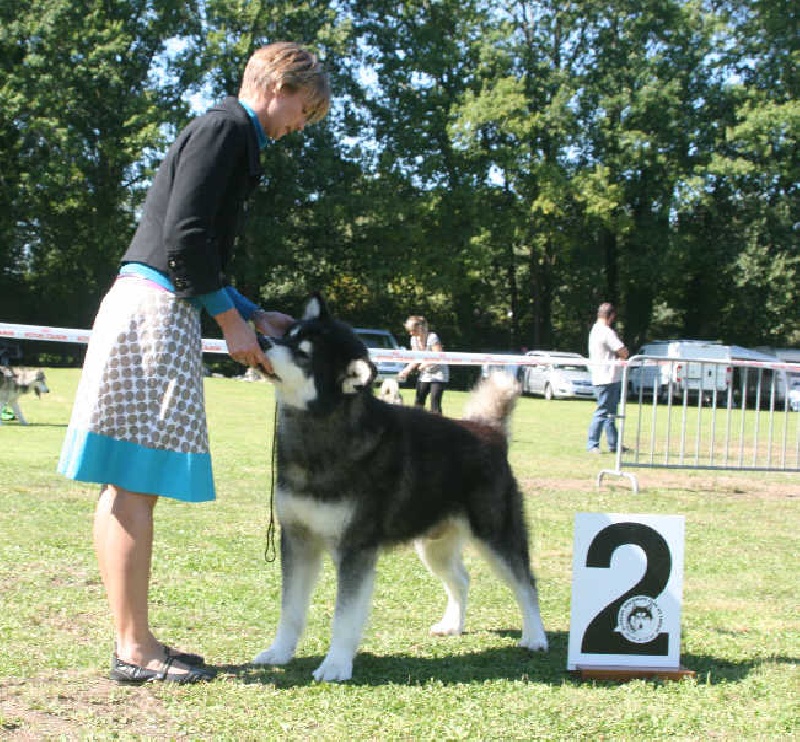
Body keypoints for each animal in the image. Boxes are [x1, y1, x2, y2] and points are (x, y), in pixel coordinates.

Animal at [253, 298, 548, 684]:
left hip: (496, 535)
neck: (320, 435)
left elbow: (344, 616)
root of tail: (489, 432)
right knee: (462, 579)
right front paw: (278, 652)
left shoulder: (356, 548)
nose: (260, 340)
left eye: (303, 354)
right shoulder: (297, 539)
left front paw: (335, 664)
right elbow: (290, 610)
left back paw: (536, 636)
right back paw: (452, 625)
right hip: (434, 545)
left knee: (526, 583)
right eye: (287, 334)